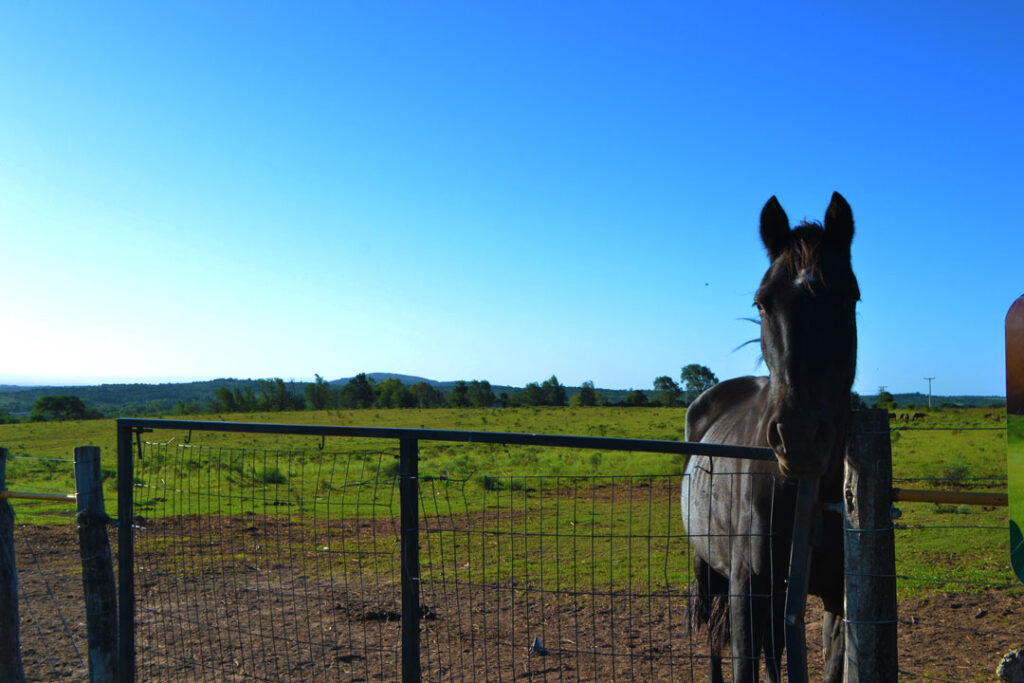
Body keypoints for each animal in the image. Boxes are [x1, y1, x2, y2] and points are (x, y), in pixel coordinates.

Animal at [684, 193, 860, 683]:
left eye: (849, 298)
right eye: (762, 303)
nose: (798, 437)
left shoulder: (837, 596)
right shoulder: (748, 588)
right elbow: (744, 659)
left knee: (773, 647)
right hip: (709, 572)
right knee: (715, 639)